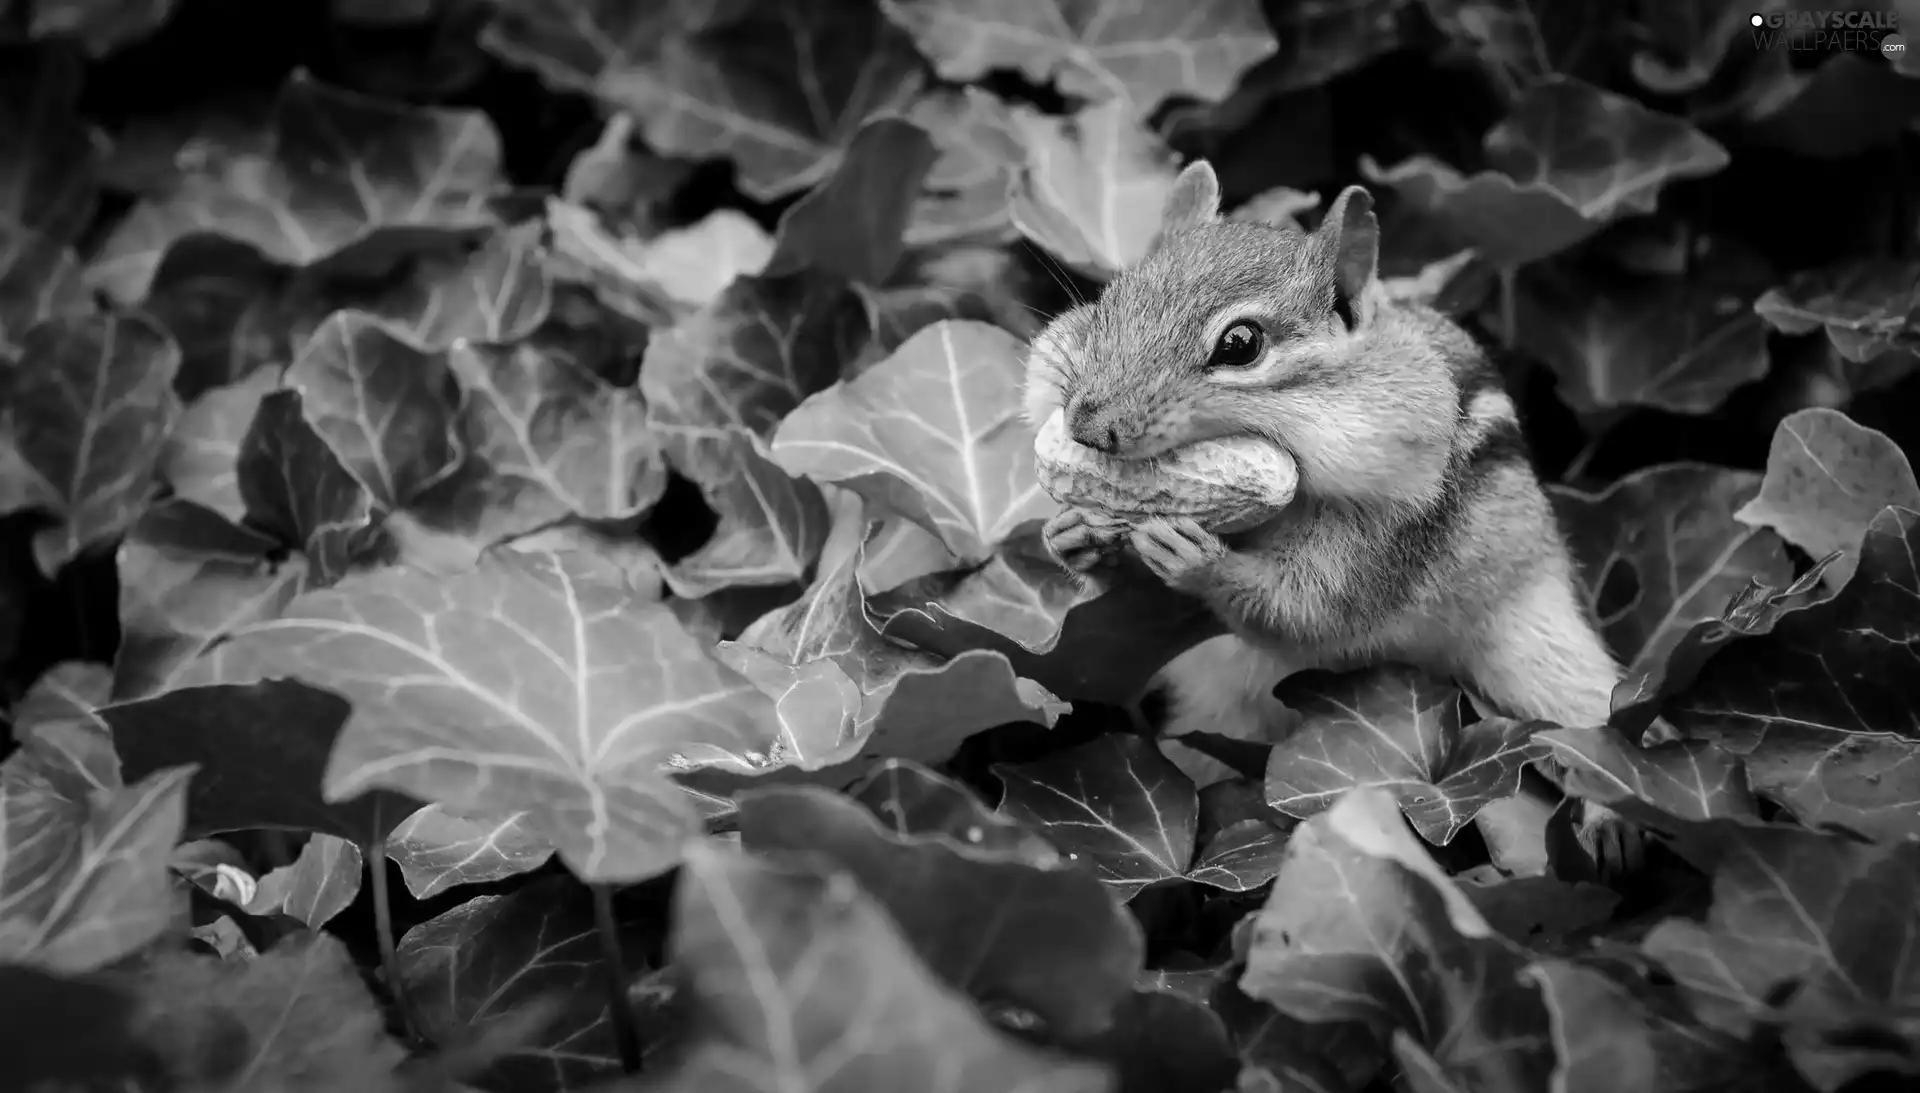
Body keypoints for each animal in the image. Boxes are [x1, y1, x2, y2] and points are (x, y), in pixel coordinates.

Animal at [1029, 162, 1643, 872]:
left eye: (1240, 344)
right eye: (1108, 303)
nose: (1086, 425)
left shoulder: (1381, 538)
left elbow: (1309, 611)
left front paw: (1199, 561)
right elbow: (1128, 607)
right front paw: (1071, 537)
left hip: (1540, 647)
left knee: (1593, 726)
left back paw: (1613, 819)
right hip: (1215, 718)